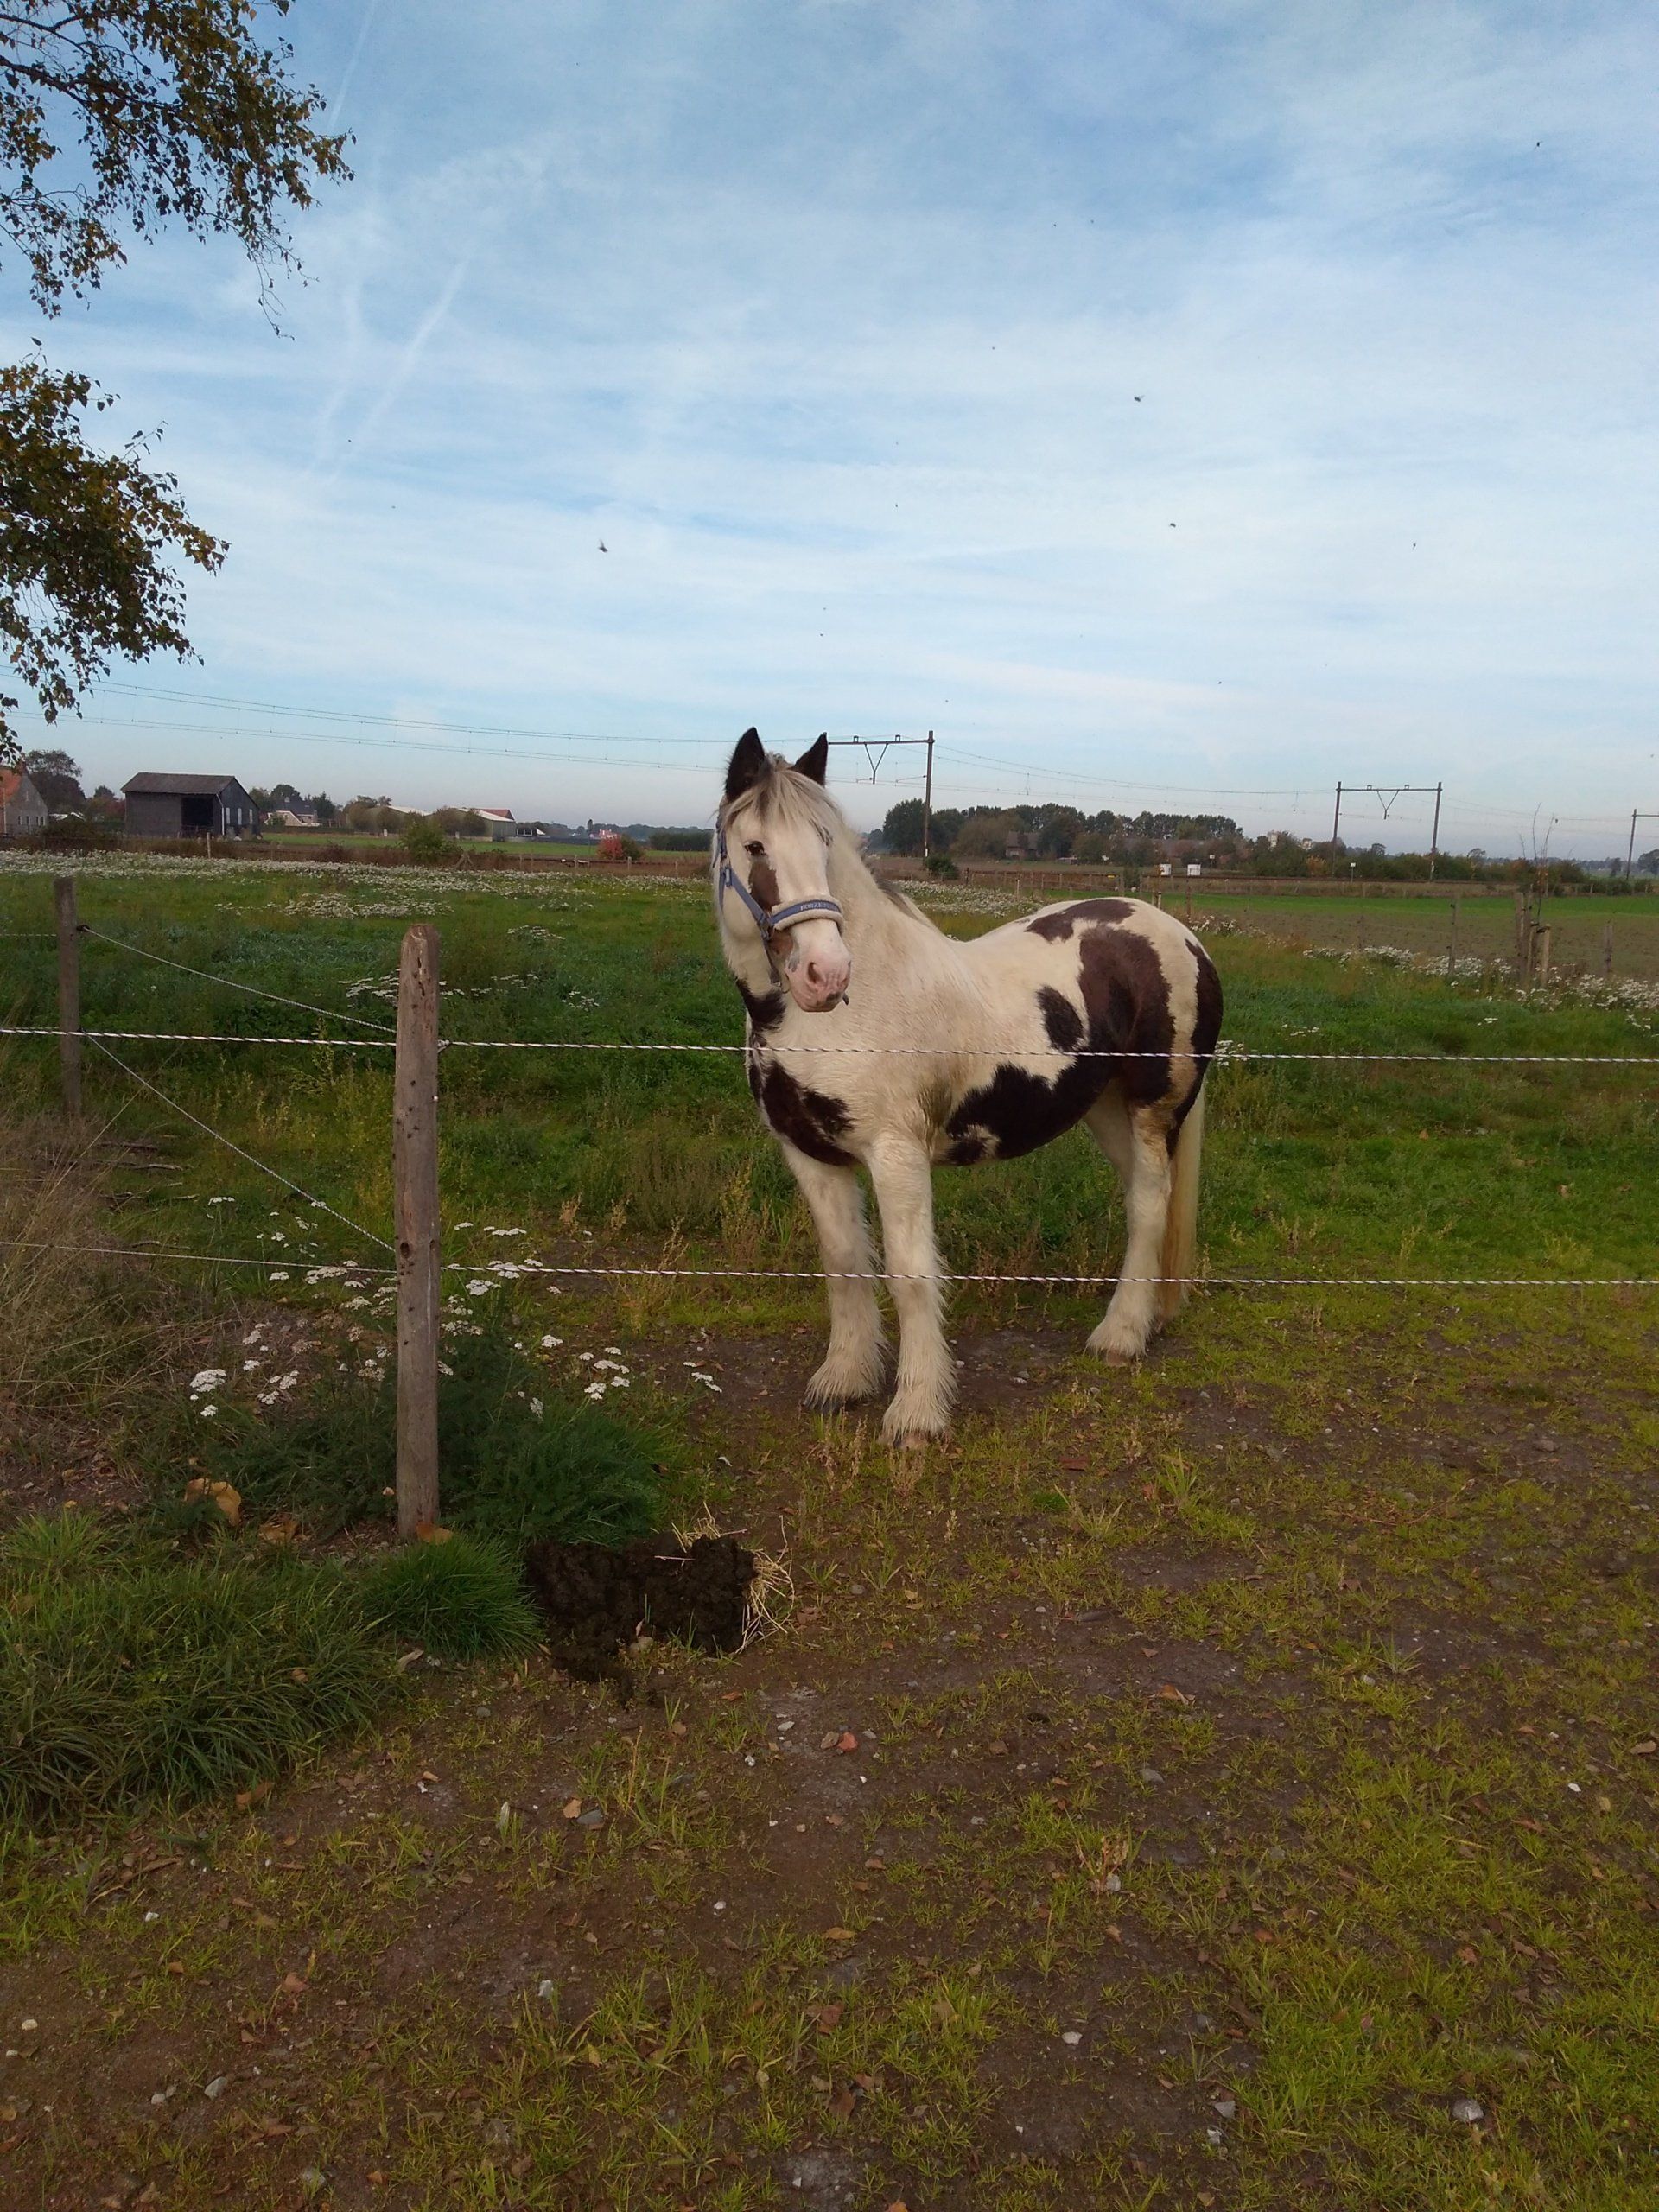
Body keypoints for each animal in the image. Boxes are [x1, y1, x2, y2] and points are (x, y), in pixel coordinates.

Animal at [713, 728, 1223, 1444]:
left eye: (823, 843)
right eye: (755, 846)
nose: (825, 973)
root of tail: (1182, 936)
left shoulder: (895, 1155)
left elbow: (910, 1275)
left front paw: (916, 1415)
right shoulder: (810, 1154)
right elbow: (844, 1263)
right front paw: (844, 1380)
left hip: (1154, 1109)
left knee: (1151, 1203)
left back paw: (1120, 1336)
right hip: (1106, 1111)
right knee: (1141, 1204)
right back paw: (1142, 1316)